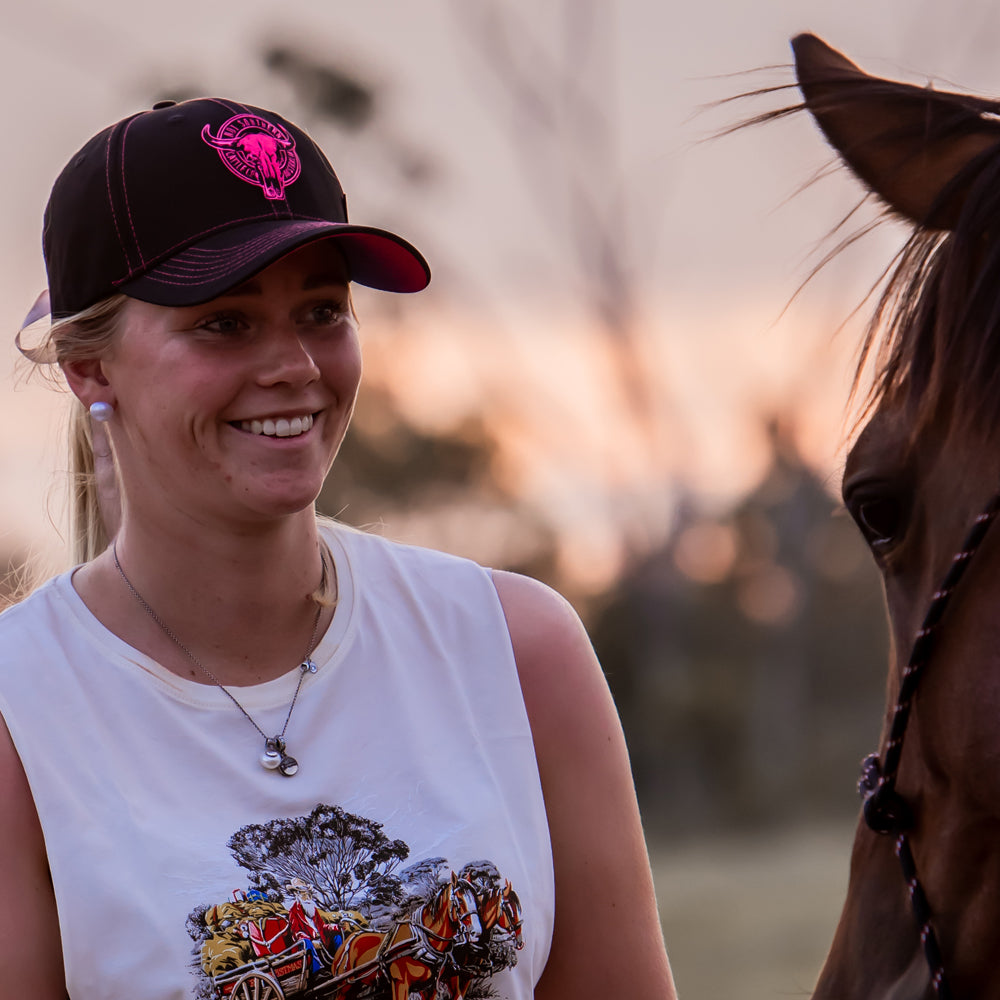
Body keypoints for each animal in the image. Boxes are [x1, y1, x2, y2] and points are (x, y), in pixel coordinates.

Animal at [330, 868, 482, 1000]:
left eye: (476, 899)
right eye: (459, 900)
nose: (476, 932)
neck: (420, 940)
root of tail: (346, 942)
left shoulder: (430, 987)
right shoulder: (400, 983)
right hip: (343, 988)